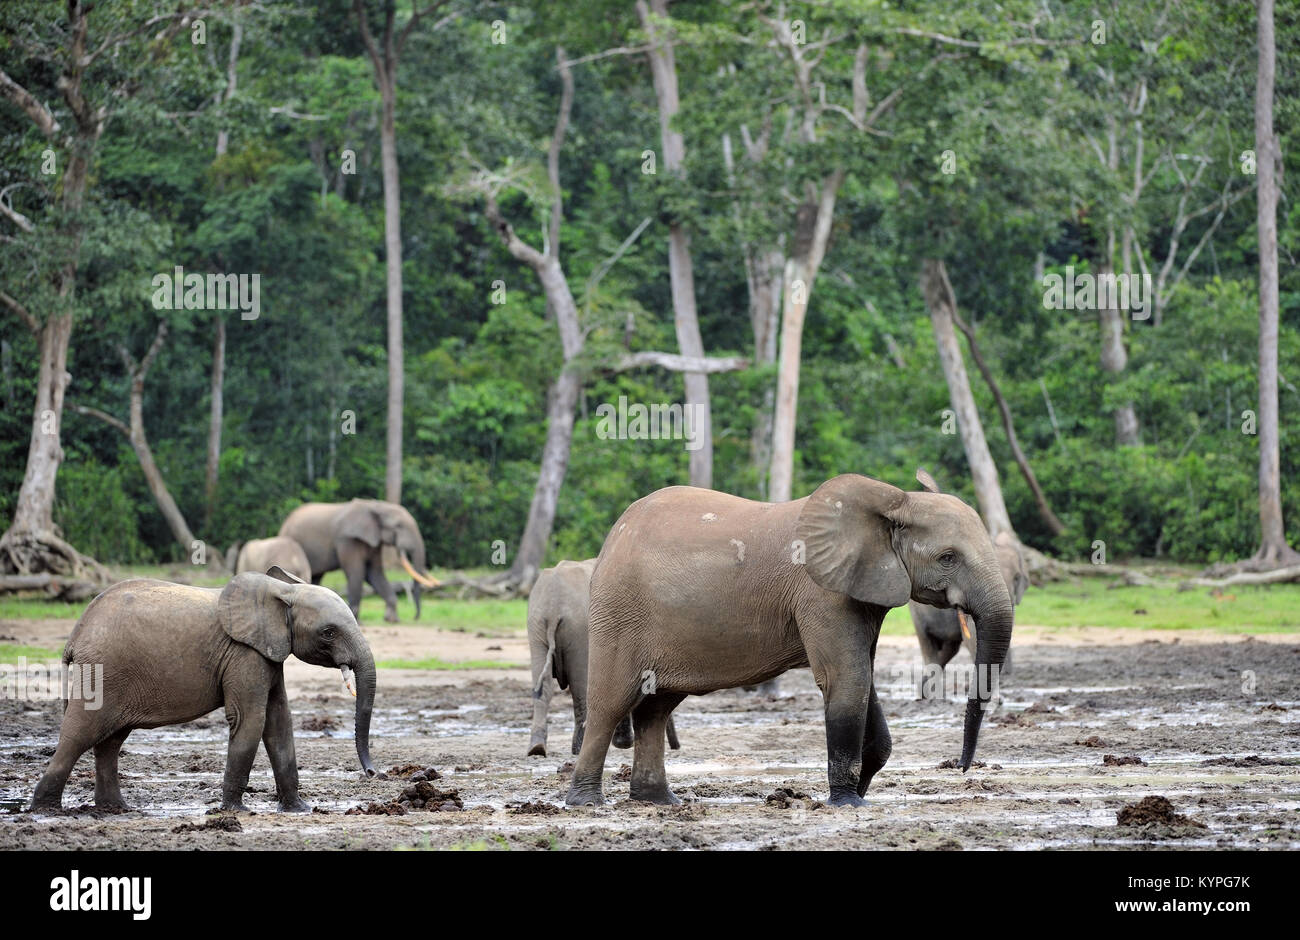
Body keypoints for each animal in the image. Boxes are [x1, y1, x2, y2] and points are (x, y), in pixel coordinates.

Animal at [30, 567, 377, 813]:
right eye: (328, 633)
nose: (373, 773)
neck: (282, 592)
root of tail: (76, 634)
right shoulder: (243, 653)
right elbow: (251, 719)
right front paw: (236, 811)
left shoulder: (267, 652)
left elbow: (279, 721)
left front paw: (299, 810)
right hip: (104, 671)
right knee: (80, 733)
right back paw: (45, 810)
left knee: (110, 741)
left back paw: (117, 808)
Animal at [279, 499, 439, 623]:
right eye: (398, 526)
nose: (415, 618)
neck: (377, 506)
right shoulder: (347, 539)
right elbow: (357, 573)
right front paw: (357, 621)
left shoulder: (374, 541)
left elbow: (374, 573)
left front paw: (392, 620)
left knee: (316, 577)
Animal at [527, 558, 679, 757]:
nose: (676, 747)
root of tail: (553, 608)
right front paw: (624, 744)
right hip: (577, 629)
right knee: (581, 688)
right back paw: (577, 749)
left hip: (537, 625)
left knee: (542, 687)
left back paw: (536, 749)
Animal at [565, 472, 1014, 808]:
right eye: (948, 558)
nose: (961, 766)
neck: (894, 502)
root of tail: (614, 535)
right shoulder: (821, 593)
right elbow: (846, 679)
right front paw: (847, 802)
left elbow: (862, 678)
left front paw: (861, 789)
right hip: (619, 613)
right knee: (611, 702)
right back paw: (586, 802)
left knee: (656, 708)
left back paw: (658, 801)